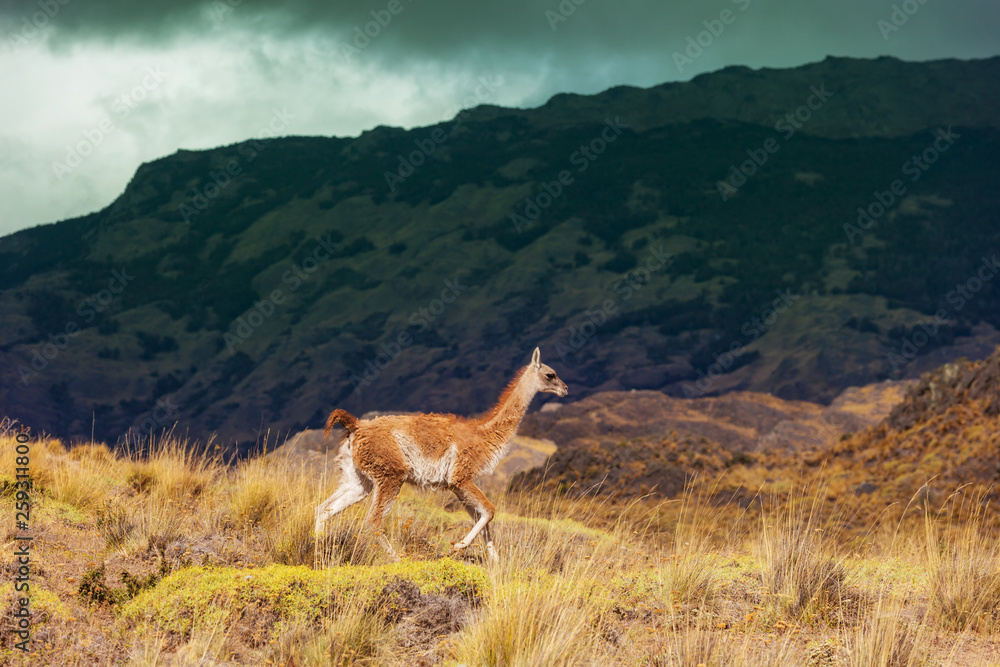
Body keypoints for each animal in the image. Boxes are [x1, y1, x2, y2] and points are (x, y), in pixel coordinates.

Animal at [314, 347, 568, 561]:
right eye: (550, 374)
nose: (565, 389)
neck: (484, 433)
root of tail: (357, 426)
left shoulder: (456, 485)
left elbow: (481, 517)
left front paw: (495, 562)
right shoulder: (461, 477)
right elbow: (489, 510)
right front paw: (460, 546)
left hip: (358, 479)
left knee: (322, 510)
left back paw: (318, 551)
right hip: (390, 474)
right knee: (372, 522)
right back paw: (397, 559)